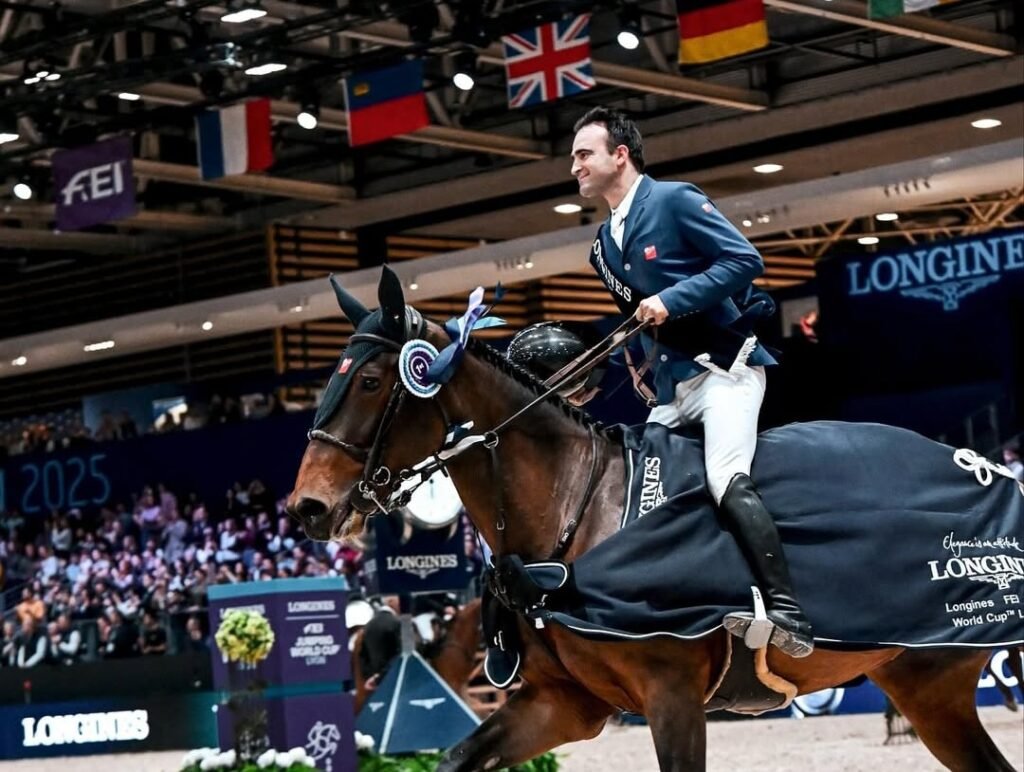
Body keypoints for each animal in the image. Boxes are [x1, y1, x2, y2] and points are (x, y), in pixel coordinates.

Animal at [287, 268, 1018, 772]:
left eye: (372, 382)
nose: (307, 508)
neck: (576, 511)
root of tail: (993, 472)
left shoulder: (672, 697)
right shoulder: (562, 703)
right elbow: (453, 758)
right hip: (928, 683)